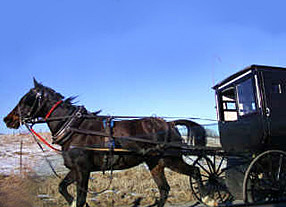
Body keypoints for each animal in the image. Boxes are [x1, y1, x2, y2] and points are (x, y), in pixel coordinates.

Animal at [3, 78, 207, 206]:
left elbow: (81, 197)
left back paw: (206, 196)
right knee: (164, 189)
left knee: (195, 172)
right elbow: (63, 188)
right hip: (155, 163)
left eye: (26, 99)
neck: (74, 128)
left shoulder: (83, 170)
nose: (7, 119)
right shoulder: (75, 169)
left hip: (172, 159)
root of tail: (169, 123)